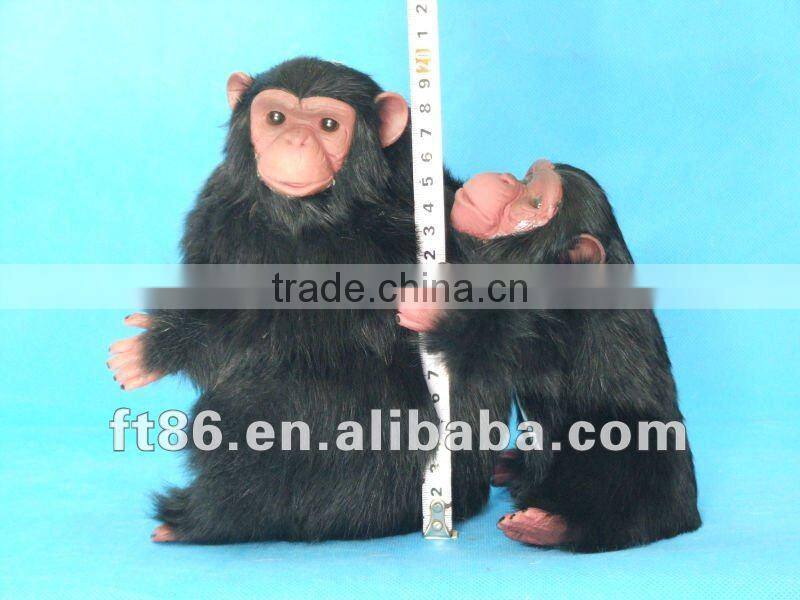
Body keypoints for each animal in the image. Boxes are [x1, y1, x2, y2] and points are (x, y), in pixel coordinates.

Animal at [107, 57, 508, 543]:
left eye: (328, 125)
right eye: (276, 118)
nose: (295, 139)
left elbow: (317, 330)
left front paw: (165, 344)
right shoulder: (215, 209)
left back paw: (208, 516)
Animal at [398, 159, 702, 552]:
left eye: (535, 202)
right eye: (527, 179)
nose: (508, 179)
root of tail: (687, 518)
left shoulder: (552, 322)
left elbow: (502, 348)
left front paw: (435, 311)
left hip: (637, 456)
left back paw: (550, 525)